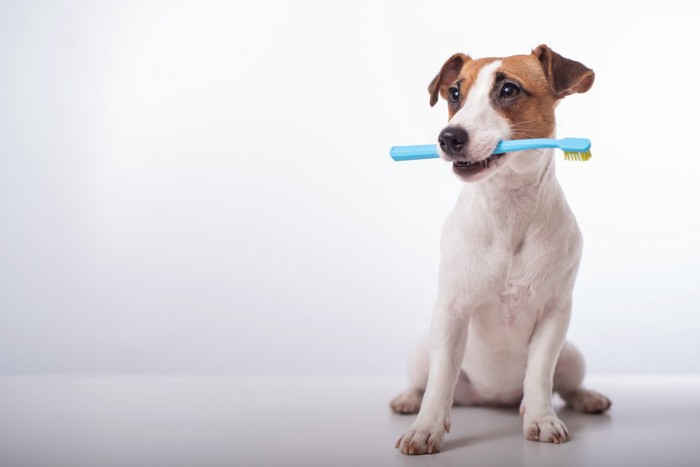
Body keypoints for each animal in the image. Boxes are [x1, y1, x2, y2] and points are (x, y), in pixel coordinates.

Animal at [392, 45, 608, 456]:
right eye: (454, 94)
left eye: (508, 90)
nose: (448, 138)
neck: (508, 208)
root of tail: (493, 397)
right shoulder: (451, 313)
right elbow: (440, 380)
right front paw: (426, 428)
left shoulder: (555, 314)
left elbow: (540, 373)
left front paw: (541, 419)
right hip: (420, 351)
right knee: (423, 380)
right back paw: (408, 399)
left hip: (571, 356)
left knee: (565, 384)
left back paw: (585, 398)